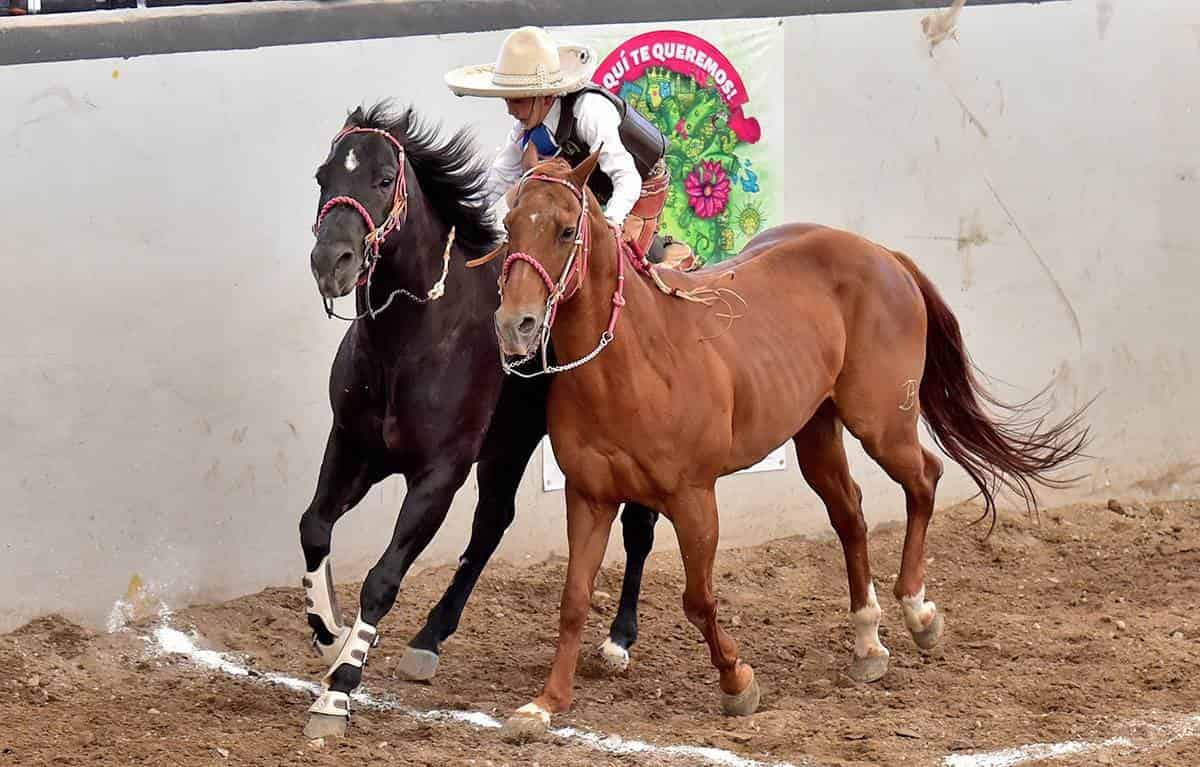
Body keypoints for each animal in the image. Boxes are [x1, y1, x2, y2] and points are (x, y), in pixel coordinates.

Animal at [298, 103, 657, 739]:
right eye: (323, 176)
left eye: (383, 179)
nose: (330, 262)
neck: (409, 340)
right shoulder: (353, 447)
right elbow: (314, 527)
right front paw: (328, 635)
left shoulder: (439, 472)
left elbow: (383, 577)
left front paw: (338, 690)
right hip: (508, 446)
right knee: (492, 523)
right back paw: (429, 638)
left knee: (637, 530)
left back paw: (618, 641)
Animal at [487, 150, 1089, 739]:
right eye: (508, 224)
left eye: (566, 230)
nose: (515, 326)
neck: (630, 361)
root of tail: (883, 256)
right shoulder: (589, 497)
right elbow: (573, 600)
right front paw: (545, 704)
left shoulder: (693, 498)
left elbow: (698, 599)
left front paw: (737, 681)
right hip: (816, 432)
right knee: (850, 515)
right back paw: (868, 643)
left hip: (881, 423)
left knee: (924, 478)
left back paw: (919, 613)